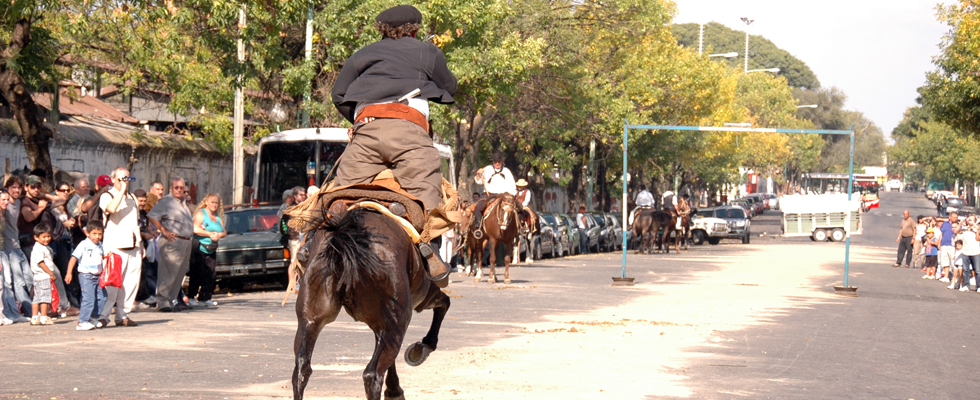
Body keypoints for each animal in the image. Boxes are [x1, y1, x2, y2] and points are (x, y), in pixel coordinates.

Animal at [288, 208, 448, 398]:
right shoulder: (425, 294)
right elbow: (444, 304)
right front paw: (425, 345)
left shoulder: (379, 326)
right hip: (397, 323)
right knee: (372, 374)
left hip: (310, 319)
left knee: (301, 369)